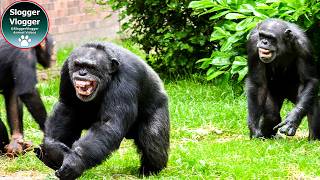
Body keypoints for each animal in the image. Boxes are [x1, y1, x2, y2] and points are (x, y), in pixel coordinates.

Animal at [35, 42, 170, 179]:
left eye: (91, 67)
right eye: (78, 65)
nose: (82, 73)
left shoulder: (127, 78)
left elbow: (108, 123)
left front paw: (76, 161)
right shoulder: (65, 71)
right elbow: (67, 106)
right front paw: (52, 150)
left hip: (159, 105)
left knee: (152, 138)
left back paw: (150, 170)